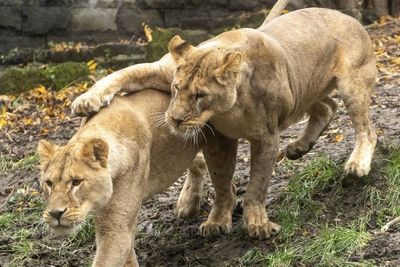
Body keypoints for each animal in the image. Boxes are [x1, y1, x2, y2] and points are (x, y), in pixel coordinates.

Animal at [37, 90, 239, 267]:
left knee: (226, 184)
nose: (55, 213)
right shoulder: (117, 223)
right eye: (49, 183)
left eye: (76, 182)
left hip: (218, 144)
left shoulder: (116, 229)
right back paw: (187, 203)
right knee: (198, 162)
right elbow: (128, 256)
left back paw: (216, 221)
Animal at [70, 0, 376, 239]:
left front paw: (257, 223)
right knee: (326, 107)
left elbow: (257, 184)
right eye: (176, 88)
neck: (227, 109)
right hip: (304, 92)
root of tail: (349, 17)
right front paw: (87, 101)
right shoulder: (211, 130)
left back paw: (356, 163)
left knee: (366, 129)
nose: (174, 119)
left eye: (200, 95)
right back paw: (298, 148)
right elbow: (120, 75)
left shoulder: (265, 136)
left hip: (350, 84)